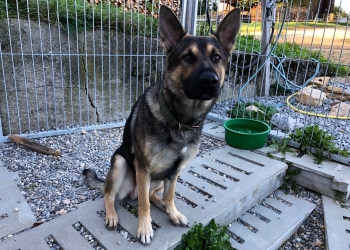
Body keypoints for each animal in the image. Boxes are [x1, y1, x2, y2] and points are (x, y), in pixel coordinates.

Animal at [83, 5, 239, 244]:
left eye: (217, 57)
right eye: (187, 57)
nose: (210, 81)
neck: (180, 120)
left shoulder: (175, 170)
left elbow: (170, 194)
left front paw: (172, 212)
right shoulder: (143, 167)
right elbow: (143, 205)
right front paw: (144, 228)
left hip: (157, 177)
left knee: (151, 194)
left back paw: (162, 205)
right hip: (121, 164)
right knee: (111, 195)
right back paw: (111, 215)